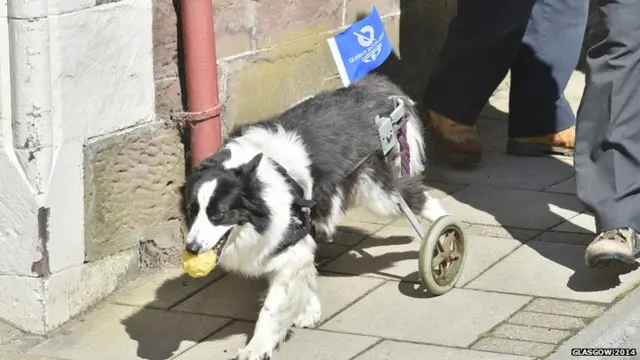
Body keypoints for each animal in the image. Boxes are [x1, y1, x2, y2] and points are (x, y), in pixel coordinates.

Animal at [182, 74, 448, 360]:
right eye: (191, 211)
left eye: (219, 214)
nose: (191, 248)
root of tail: (373, 87)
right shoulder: (294, 235)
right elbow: (303, 269)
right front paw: (310, 310)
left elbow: (271, 310)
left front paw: (257, 347)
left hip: (377, 192)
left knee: (421, 200)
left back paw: (444, 239)